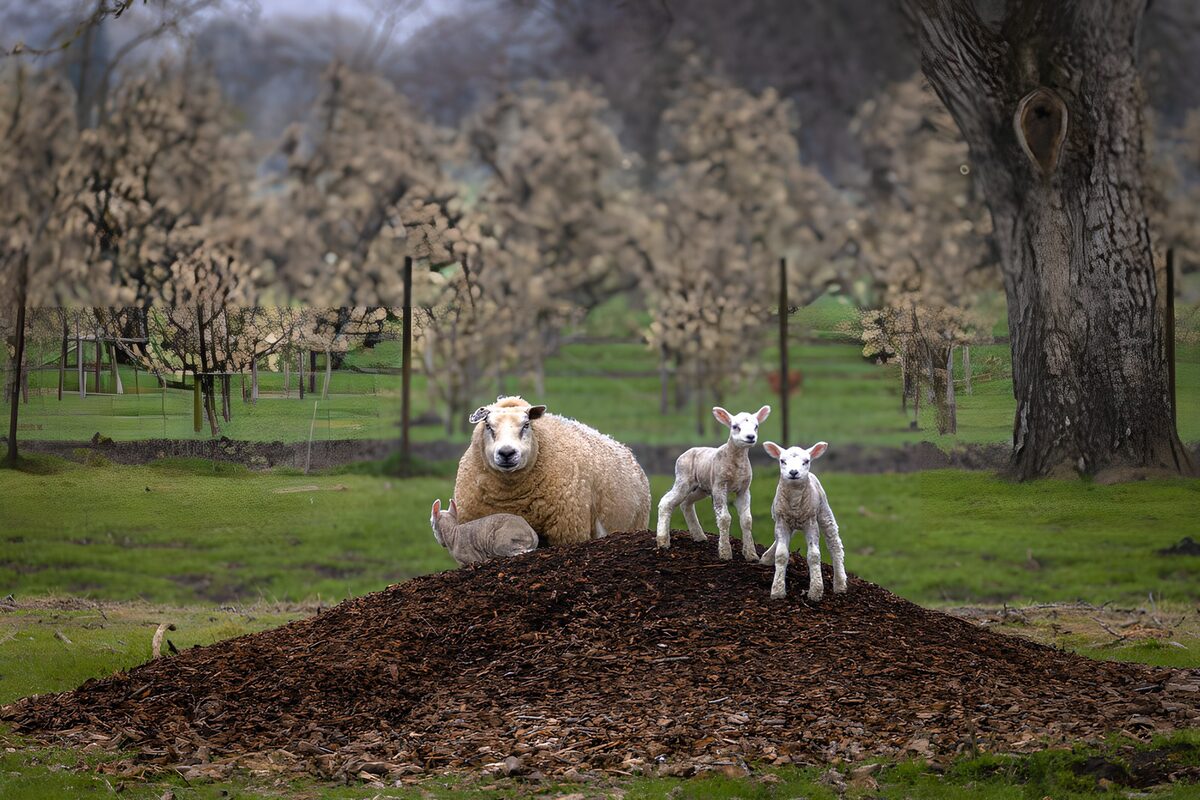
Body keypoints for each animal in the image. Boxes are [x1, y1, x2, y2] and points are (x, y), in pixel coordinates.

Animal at [453, 396, 651, 546]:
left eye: (526, 425)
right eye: (488, 426)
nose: (507, 453)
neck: (510, 500)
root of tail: (626, 449)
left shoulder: (567, 532)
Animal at [656, 405, 771, 560]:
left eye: (756, 426)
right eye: (735, 426)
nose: (751, 437)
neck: (736, 464)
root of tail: (686, 452)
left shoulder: (744, 489)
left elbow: (747, 520)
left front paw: (751, 554)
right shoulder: (719, 485)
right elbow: (724, 518)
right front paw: (725, 553)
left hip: (701, 487)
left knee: (686, 503)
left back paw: (699, 536)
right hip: (683, 479)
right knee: (666, 502)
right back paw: (663, 541)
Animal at [759, 441, 847, 601]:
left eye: (806, 461)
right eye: (782, 461)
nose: (793, 472)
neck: (795, 500)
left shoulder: (810, 522)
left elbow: (814, 555)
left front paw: (816, 591)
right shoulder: (782, 521)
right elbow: (781, 554)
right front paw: (777, 590)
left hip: (824, 511)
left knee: (835, 545)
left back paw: (840, 584)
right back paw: (767, 558)